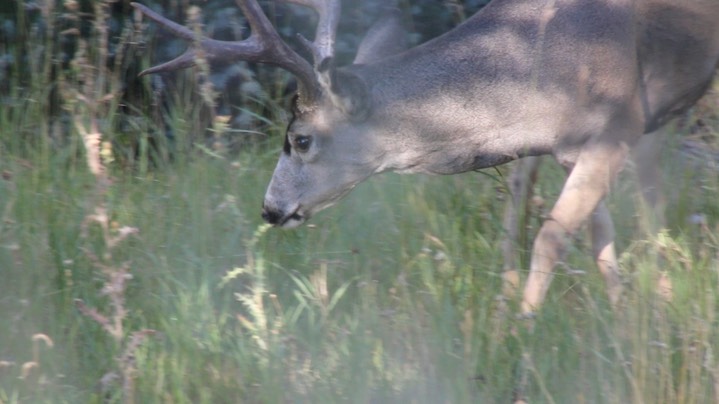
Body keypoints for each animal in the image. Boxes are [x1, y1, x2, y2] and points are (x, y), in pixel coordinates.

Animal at [134, 0, 719, 316]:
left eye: (300, 139)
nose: (271, 208)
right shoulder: (570, 150)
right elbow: (601, 242)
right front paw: (626, 317)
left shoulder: (621, 126)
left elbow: (556, 236)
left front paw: (519, 335)